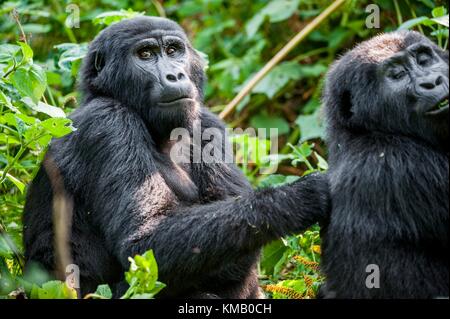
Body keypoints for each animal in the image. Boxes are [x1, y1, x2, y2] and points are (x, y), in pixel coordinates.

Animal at [22, 16, 328, 298]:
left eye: (173, 50)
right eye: (145, 54)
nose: (176, 76)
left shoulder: (207, 122)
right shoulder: (107, 122)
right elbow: (145, 242)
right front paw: (301, 196)